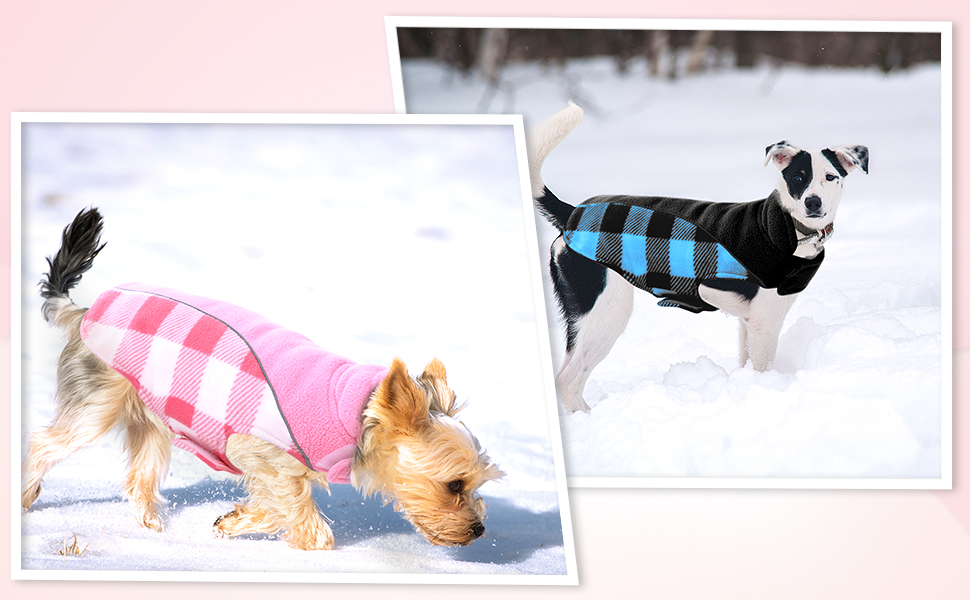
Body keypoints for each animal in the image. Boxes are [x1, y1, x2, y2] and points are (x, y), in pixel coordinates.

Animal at [19, 209, 502, 552]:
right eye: (455, 485)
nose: (480, 529)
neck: (358, 414)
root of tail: (84, 311)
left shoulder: (274, 468)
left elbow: (276, 507)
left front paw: (231, 522)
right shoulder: (257, 451)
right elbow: (309, 526)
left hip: (151, 421)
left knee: (140, 481)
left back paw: (157, 535)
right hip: (96, 404)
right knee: (44, 443)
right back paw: (25, 497)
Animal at [528, 103, 868, 412]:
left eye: (830, 177)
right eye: (798, 177)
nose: (813, 202)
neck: (786, 228)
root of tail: (573, 212)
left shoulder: (748, 322)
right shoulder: (765, 322)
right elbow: (762, 368)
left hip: (581, 318)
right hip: (606, 312)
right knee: (568, 381)